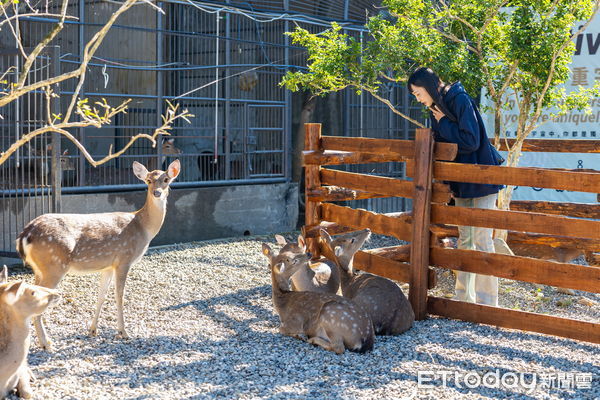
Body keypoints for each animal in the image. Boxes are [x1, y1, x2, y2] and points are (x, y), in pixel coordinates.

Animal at [15, 159, 180, 350]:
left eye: (166, 179)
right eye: (148, 180)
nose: (157, 192)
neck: (143, 227)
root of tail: (25, 235)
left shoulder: (108, 265)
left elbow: (101, 295)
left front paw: (93, 330)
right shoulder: (124, 259)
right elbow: (119, 296)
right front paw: (123, 332)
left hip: (39, 269)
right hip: (54, 265)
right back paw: (46, 344)